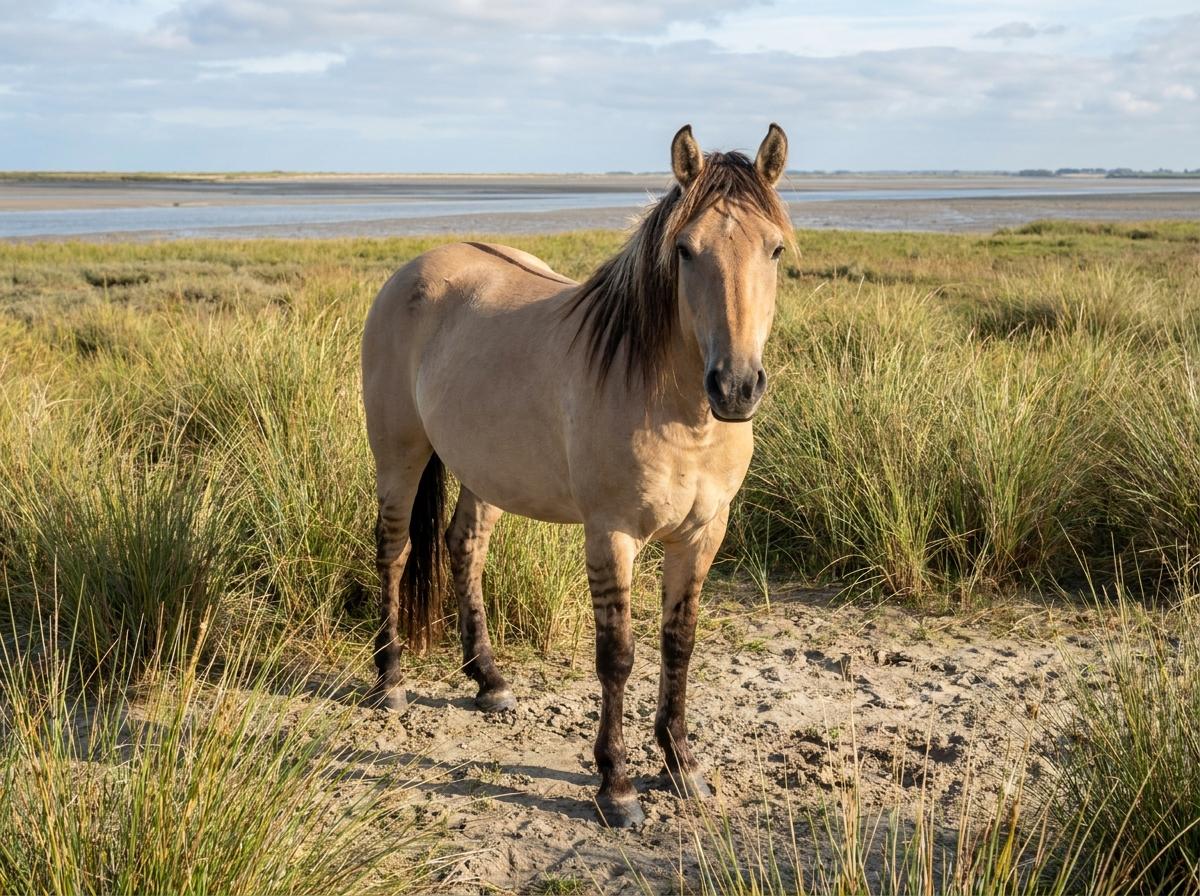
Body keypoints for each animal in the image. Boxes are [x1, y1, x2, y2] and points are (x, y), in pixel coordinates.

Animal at [360, 124, 792, 828]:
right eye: (685, 251)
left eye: (774, 249)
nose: (735, 387)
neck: (674, 405)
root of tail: (417, 267)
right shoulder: (611, 534)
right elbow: (616, 656)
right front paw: (616, 786)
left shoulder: (703, 534)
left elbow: (679, 643)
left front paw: (682, 766)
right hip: (398, 454)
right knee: (394, 553)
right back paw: (391, 682)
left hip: (486, 470)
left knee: (465, 547)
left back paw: (490, 682)